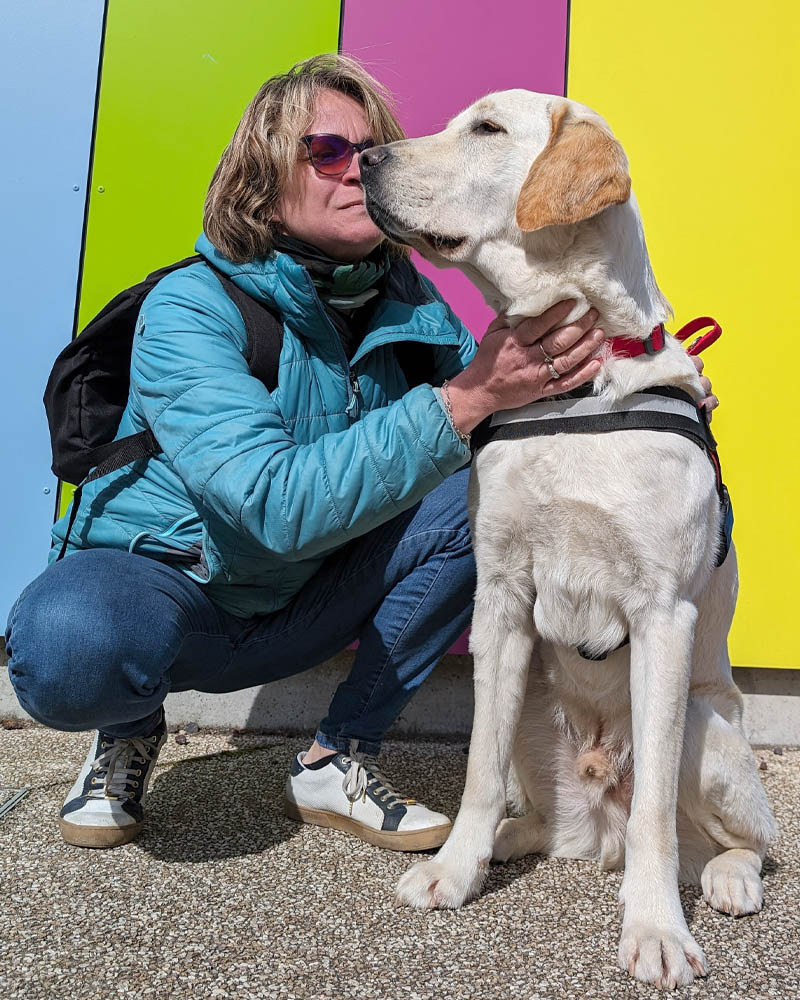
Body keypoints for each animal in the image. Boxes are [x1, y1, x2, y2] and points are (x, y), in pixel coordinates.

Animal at [360, 94, 776, 992]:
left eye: (486, 130)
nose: (363, 158)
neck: (577, 394)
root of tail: (597, 835)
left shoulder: (663, 615)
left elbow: (655, 810)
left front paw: (654, 930)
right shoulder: (501, 598)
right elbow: (478, 772)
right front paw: (455, 872)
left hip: (704, 727)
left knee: (735, 840)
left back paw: (724, 879)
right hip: (530, 709)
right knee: (539, 817)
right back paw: (501, 844)